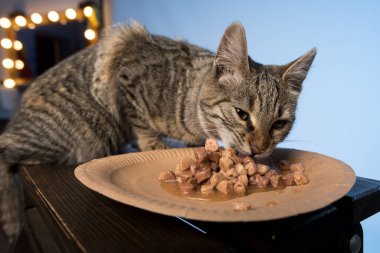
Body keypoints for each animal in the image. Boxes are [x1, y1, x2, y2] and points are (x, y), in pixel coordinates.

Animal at [0, 21, 314, 243]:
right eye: (242, 114)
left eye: (279, 124)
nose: (260, 149)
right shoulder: (124, 57)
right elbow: (138, 117)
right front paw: (152, 142)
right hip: (88, 132)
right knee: (5, 149)